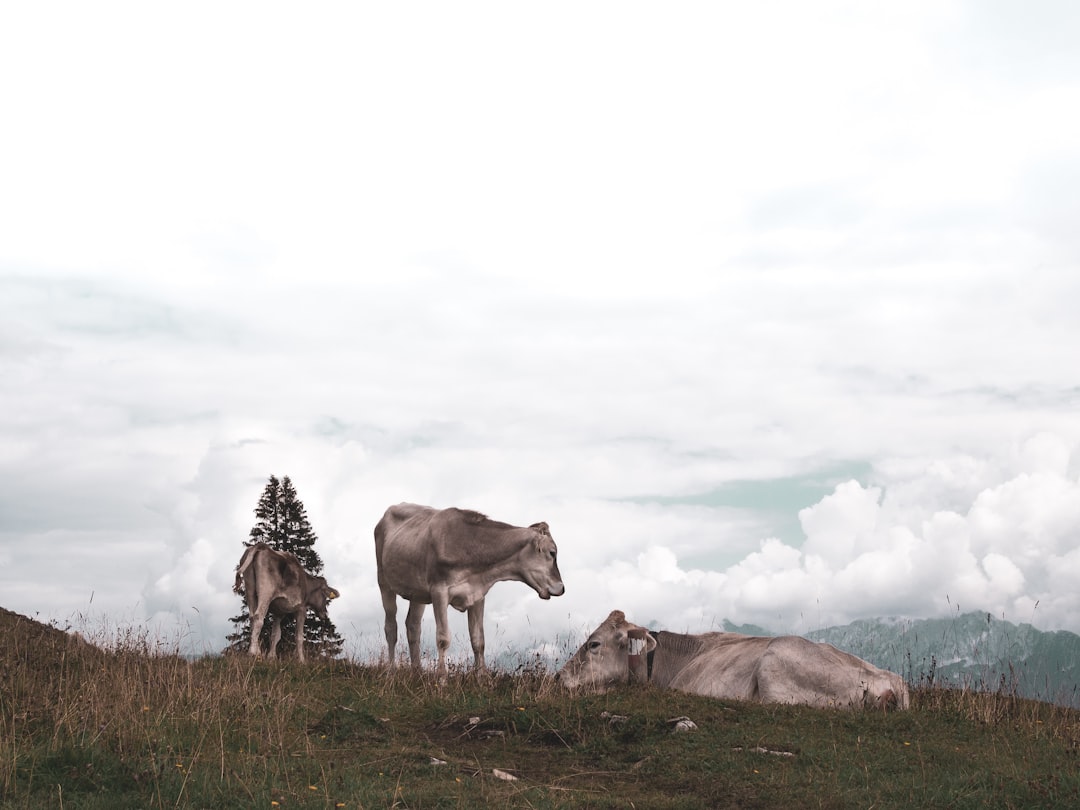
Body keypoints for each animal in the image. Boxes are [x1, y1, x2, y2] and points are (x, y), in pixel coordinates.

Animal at [375, 505, 565, 673]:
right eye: (552, 552)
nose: (562, 588)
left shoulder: (477, 594)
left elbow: (478, 641)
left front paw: (481, 679)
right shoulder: (439, 591)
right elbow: (443, 639)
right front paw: (441, 680)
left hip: (418, 593)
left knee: (413, 626)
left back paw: (417, 673)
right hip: (383, 582)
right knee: (391, 627)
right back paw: (391, 671)